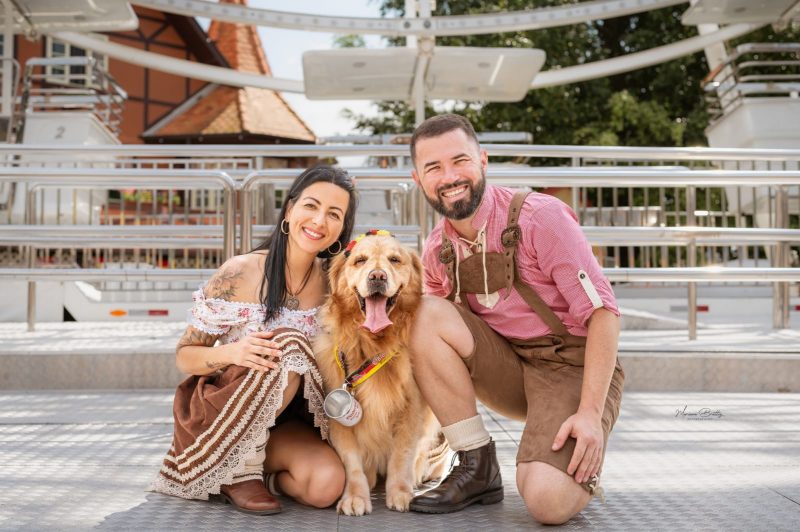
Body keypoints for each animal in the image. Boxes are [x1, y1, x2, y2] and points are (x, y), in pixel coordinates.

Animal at [316, 232, 446, 516]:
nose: (377, 276)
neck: (374, 343)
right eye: (360, 260)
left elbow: (402, 455)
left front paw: (400, 492)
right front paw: (355, 495)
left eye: (395, 260)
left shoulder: (411, 407)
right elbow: (351, 460)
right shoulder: (337, 416)